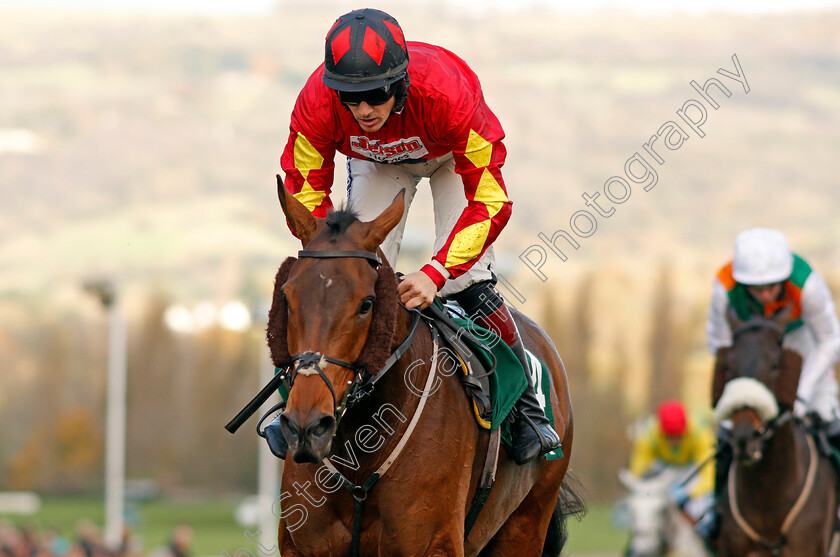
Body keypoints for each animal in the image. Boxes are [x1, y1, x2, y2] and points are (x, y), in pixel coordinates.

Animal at [268, 179, 584, 556]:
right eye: (286, 297)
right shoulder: (302, 547)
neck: (362, 448)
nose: (307, 427)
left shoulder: (434, 543)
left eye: (366, 304)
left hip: (526, 524)